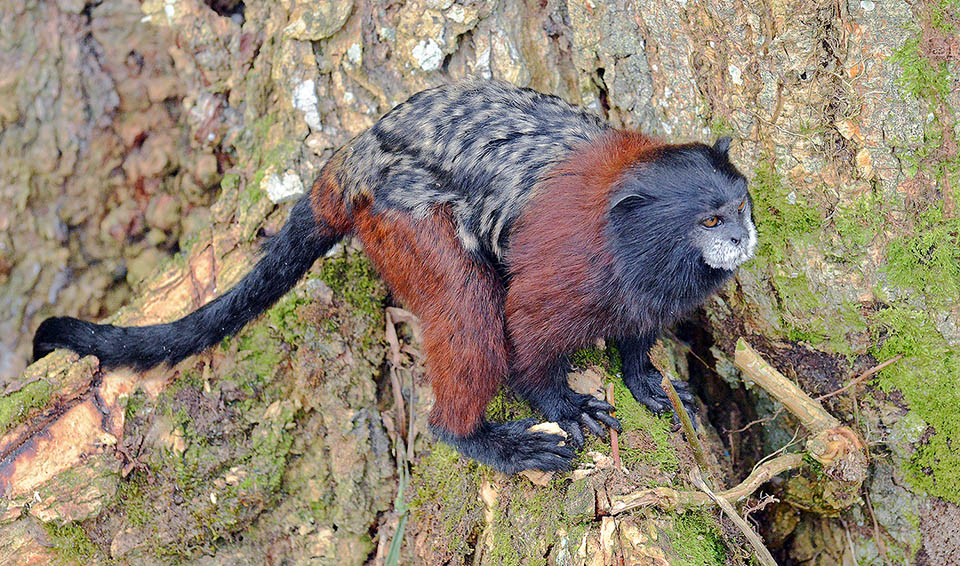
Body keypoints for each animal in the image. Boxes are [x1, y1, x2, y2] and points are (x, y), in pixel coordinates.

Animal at [31, 80, 756, 478]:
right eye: (711, 218)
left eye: (742, 206)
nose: (744, 236)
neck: (636, 241)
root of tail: (354, 159)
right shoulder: (569, 266)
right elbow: (524, 331)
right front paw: (561, 404)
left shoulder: (645, 290)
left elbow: (637, 335)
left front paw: (644, 377)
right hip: (402, 219)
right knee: (468, 312)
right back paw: (471, 436)